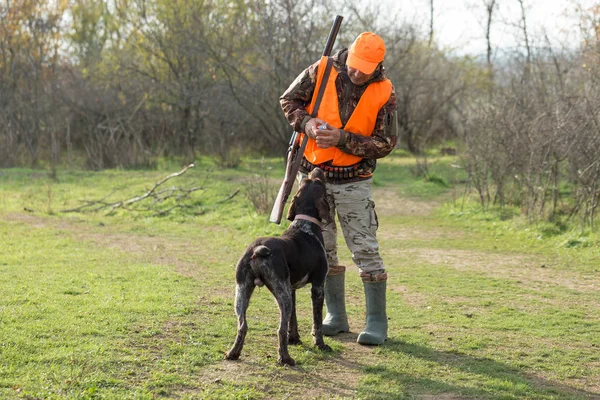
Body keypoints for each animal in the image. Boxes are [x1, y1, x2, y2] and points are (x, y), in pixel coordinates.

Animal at [225, 168, 330, 366]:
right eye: (318, 182)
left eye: (307, 181)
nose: (317, 169)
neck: (305, 225)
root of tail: (257, 250)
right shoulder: (318, 286)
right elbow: (317, 322)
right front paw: (320, 344)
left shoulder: (292, 288)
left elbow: (293, 320)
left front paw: (295, 339)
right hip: (281, 293)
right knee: (279, 329)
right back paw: (285, 358)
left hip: (243, 291)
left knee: (242, 325)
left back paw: (233, 353)